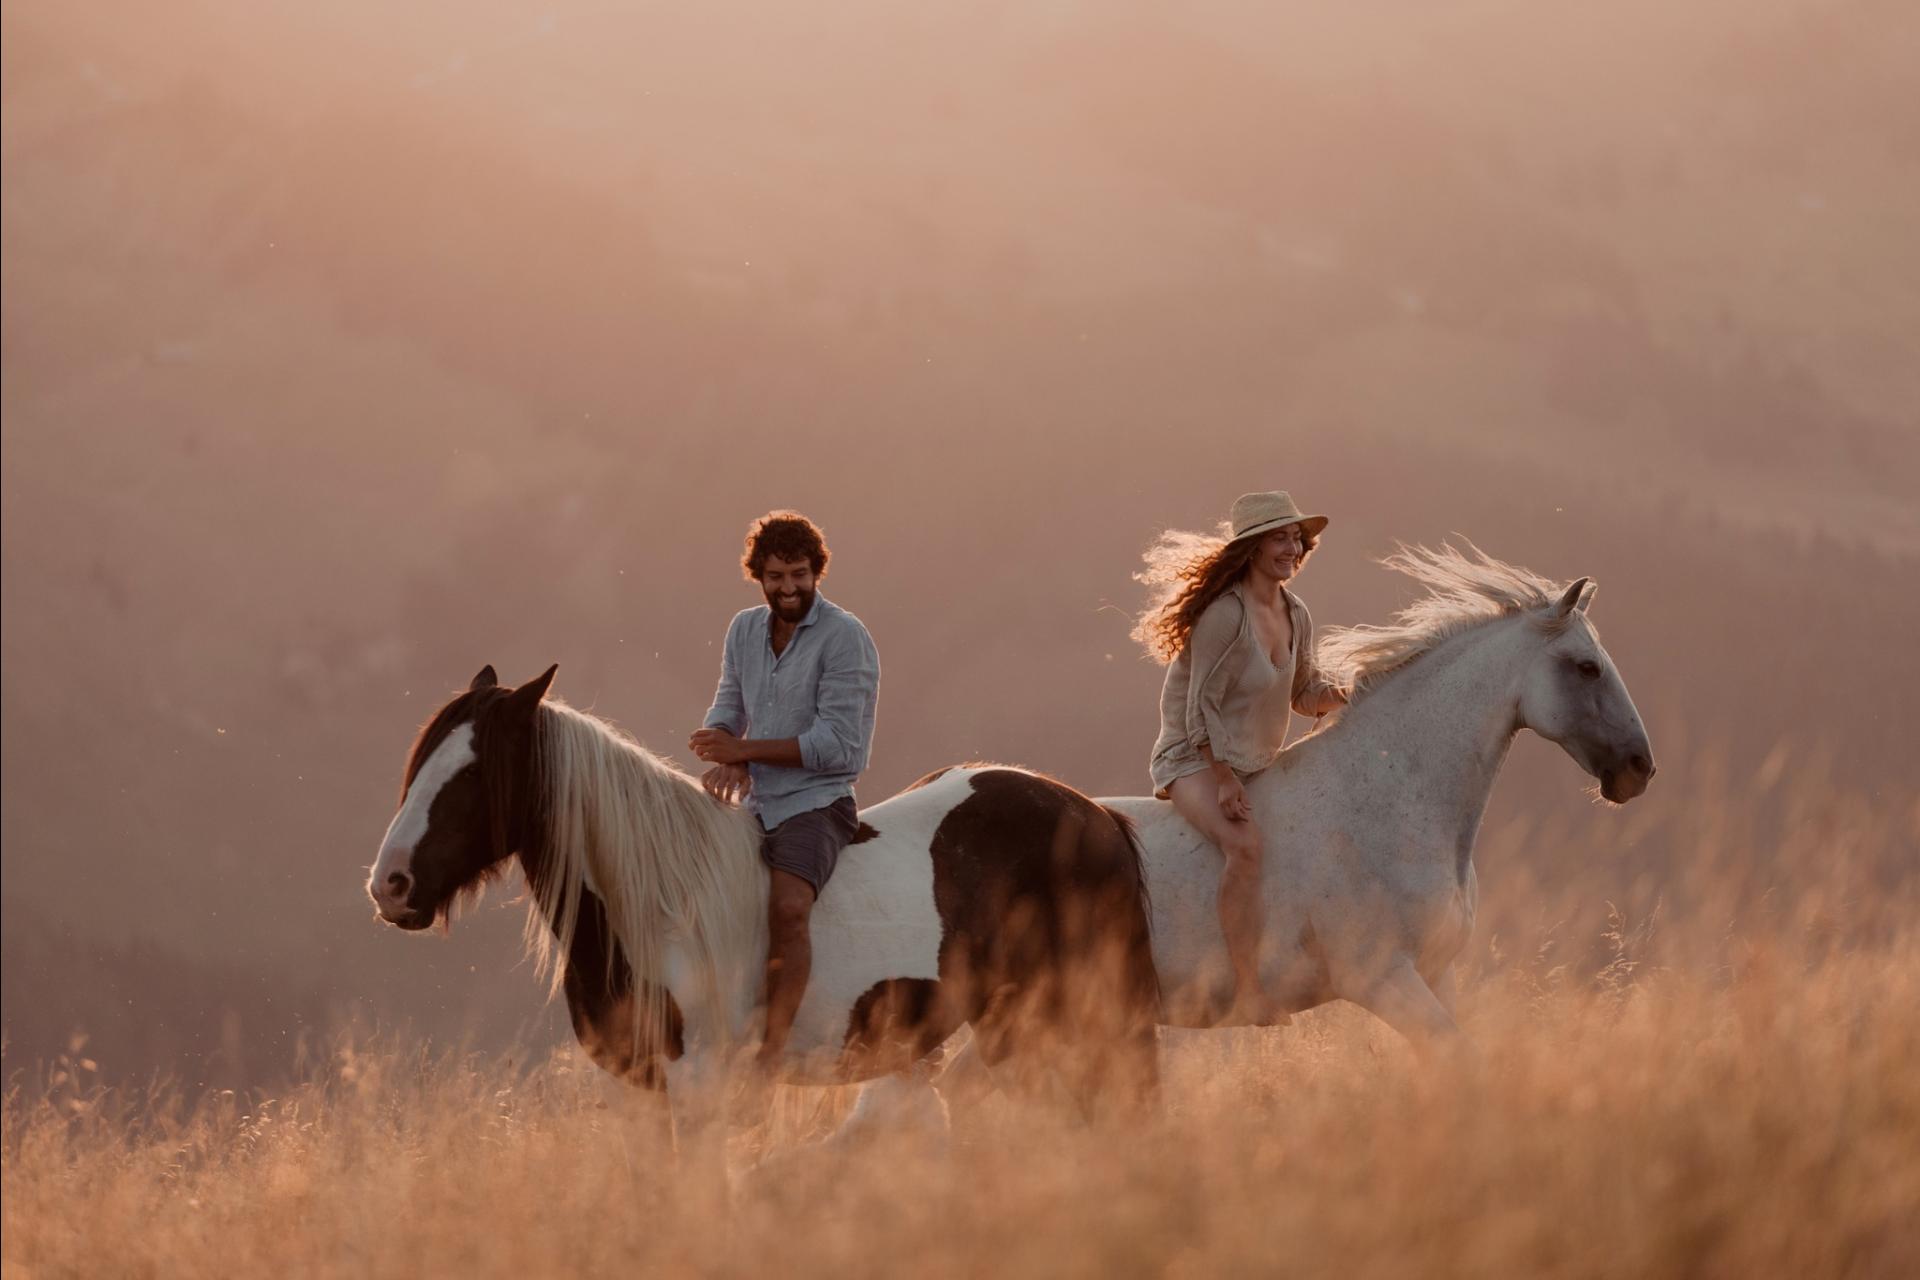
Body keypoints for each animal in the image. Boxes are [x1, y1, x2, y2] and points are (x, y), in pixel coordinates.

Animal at [368, 671, 1159, 1151]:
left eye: (471, 777)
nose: (390, 885)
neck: (657, 911)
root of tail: (1096, 816)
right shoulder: (645, 1095)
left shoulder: (698, 1092)